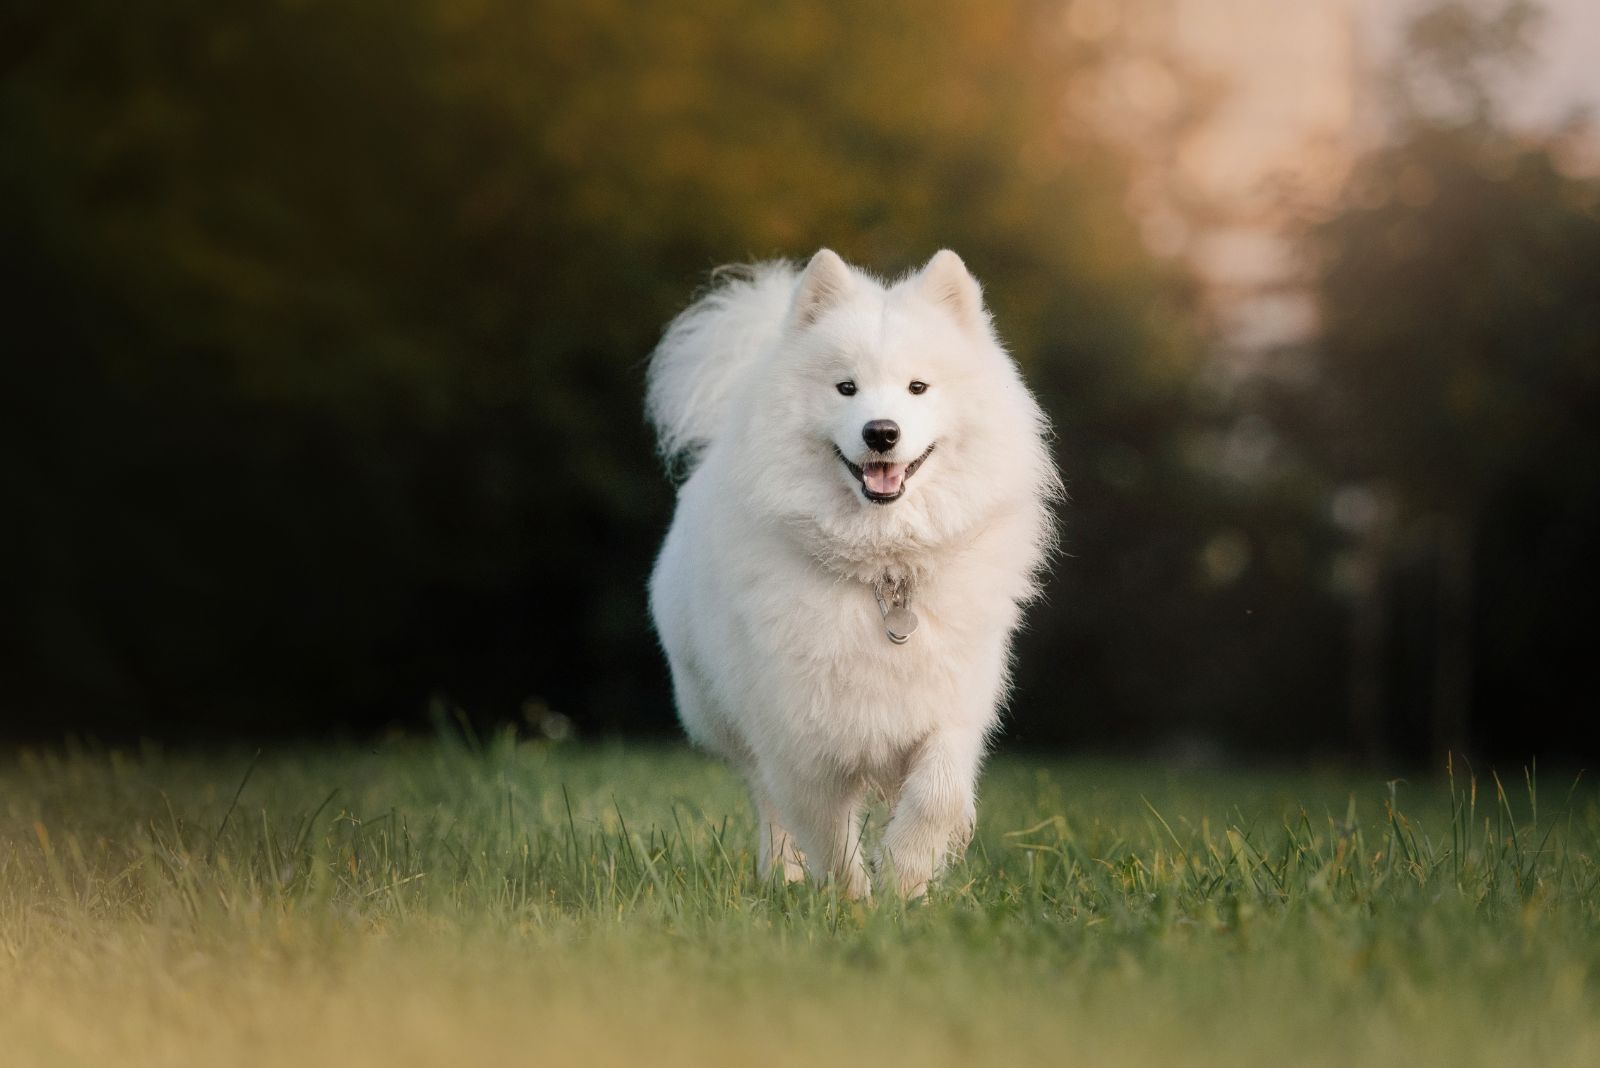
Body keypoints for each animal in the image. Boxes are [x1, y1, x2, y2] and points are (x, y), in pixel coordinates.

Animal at [643, 252, 1056, 901]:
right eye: (846, 388)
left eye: (918, 387)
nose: (881, 432)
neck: (882, 572)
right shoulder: (799, 736)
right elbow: (828, 832)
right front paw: (853, 903)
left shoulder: (951, 709)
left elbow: (937, 796)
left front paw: (906, 882)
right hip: (726, 716)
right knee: (768, 804)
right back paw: (782, 877)